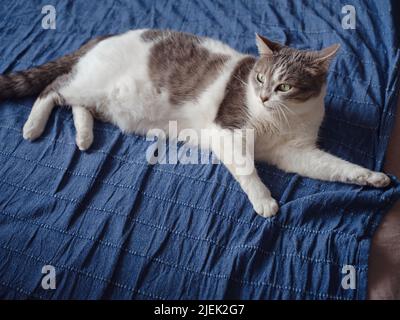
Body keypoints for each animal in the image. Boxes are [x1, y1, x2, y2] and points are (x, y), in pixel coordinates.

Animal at [0, 29, 390, 218]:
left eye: (285, 87)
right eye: (259, 79)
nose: (264, 97)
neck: (280, 117)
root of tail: (105, 36)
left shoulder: (295, 152)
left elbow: (336, 168)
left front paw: (372, 177)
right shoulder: (227, 131)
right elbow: (247, 168)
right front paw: (264, 201)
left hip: (103, 100)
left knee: (77, 106)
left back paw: (83, 136)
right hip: (90, 83)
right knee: (53, 88)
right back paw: (33, 127)